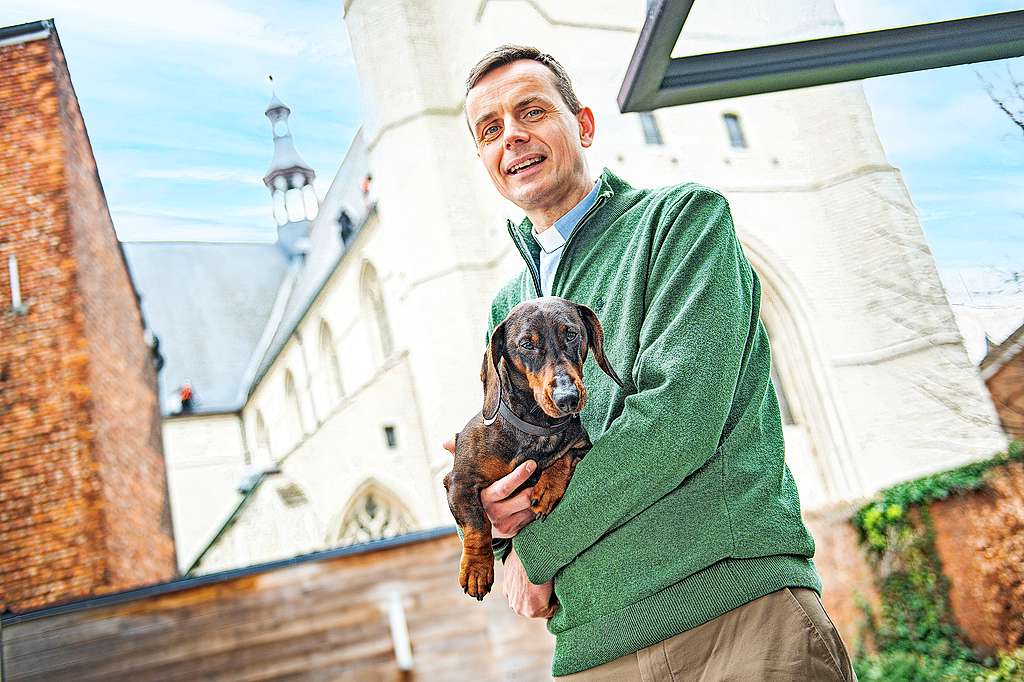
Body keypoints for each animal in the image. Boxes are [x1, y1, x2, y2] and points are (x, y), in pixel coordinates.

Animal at [446, 294, 626, 598]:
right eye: (527, 344)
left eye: (571, 334)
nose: (568, 398)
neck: (536, 427)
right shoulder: (458, 482)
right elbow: (477, 523)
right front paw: (477, 569)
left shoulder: (582, 447)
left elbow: (564, 457)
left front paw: (547, 488)